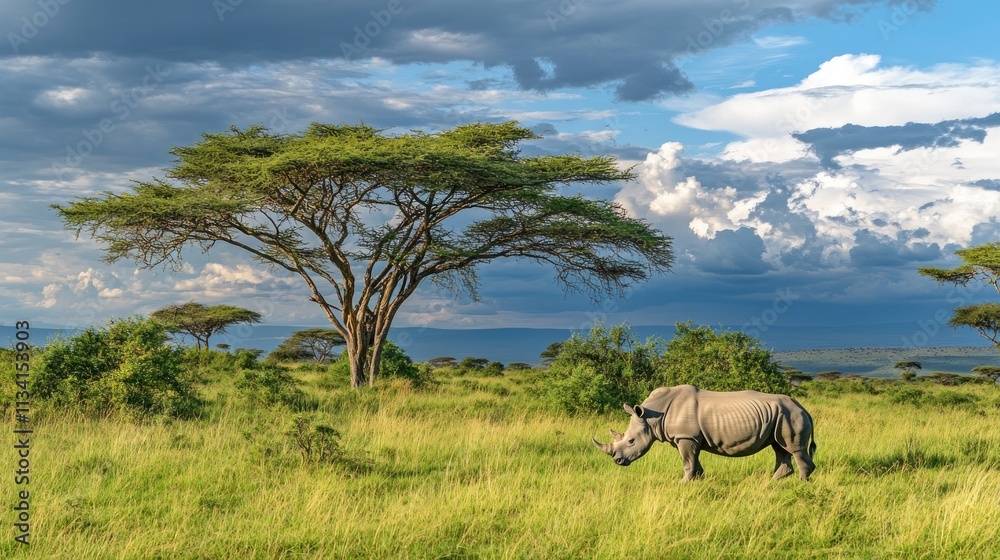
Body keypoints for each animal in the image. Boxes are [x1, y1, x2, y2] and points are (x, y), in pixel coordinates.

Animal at [593, 385, 816, 481]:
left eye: (631, 441)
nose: (617, 461)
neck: (652, 415)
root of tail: (804, 408)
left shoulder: (685, 437)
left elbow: (687, 462)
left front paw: (683, 484)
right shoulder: (690, 438)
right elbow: (694, 462)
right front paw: (698, 481)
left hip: (790, 415)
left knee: (794, 449)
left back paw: (801, 485)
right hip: (781, 416)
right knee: (780, 447)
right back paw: (770, 484)